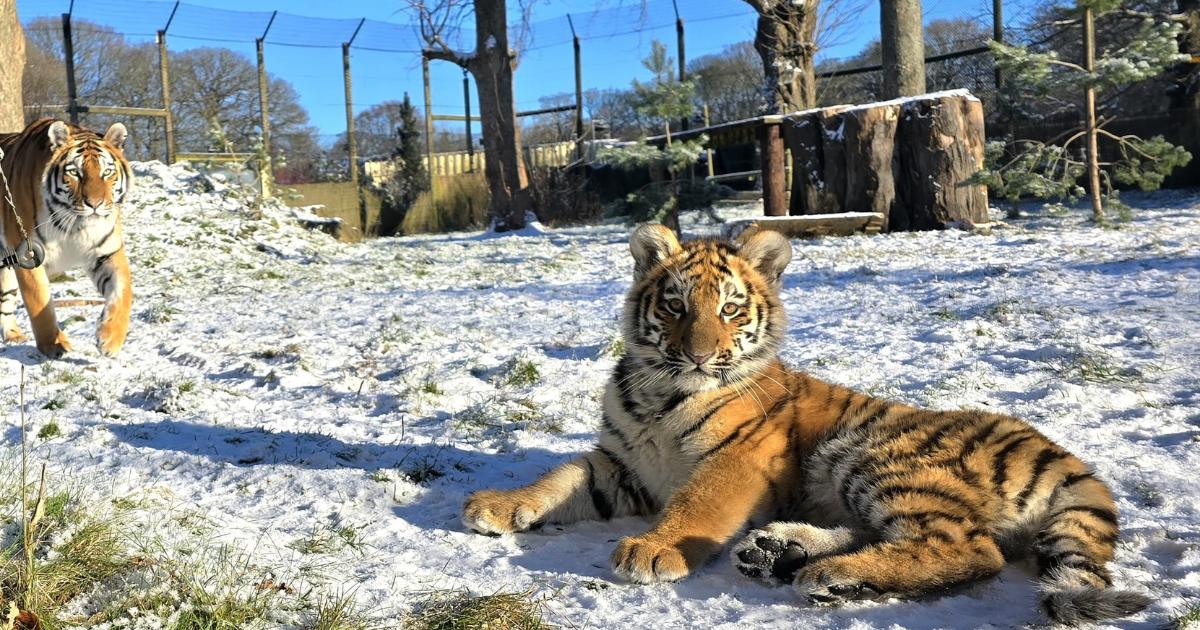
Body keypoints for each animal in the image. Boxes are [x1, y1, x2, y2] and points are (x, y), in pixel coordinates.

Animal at [1, 118, 134, 359]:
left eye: (107, 172)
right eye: (74, 172)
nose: (95, 204)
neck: (74, 226)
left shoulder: (107, 251)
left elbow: (123, 290)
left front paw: (110, 339)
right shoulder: (28, 253)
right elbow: (39, 300)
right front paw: (54, 345)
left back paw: (14, 335)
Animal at [461, 224, 1151, 624]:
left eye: (730, 310)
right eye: (676, 305)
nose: (700, 355)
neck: (660, 391)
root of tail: (1064, 456)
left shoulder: (737, 458)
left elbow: (696, 503)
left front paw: (655, 548)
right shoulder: (622, 464)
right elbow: (559, 478)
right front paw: (497, 504)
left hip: (875, 453)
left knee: (970, 549)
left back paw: (830, 574)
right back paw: (783, 552)